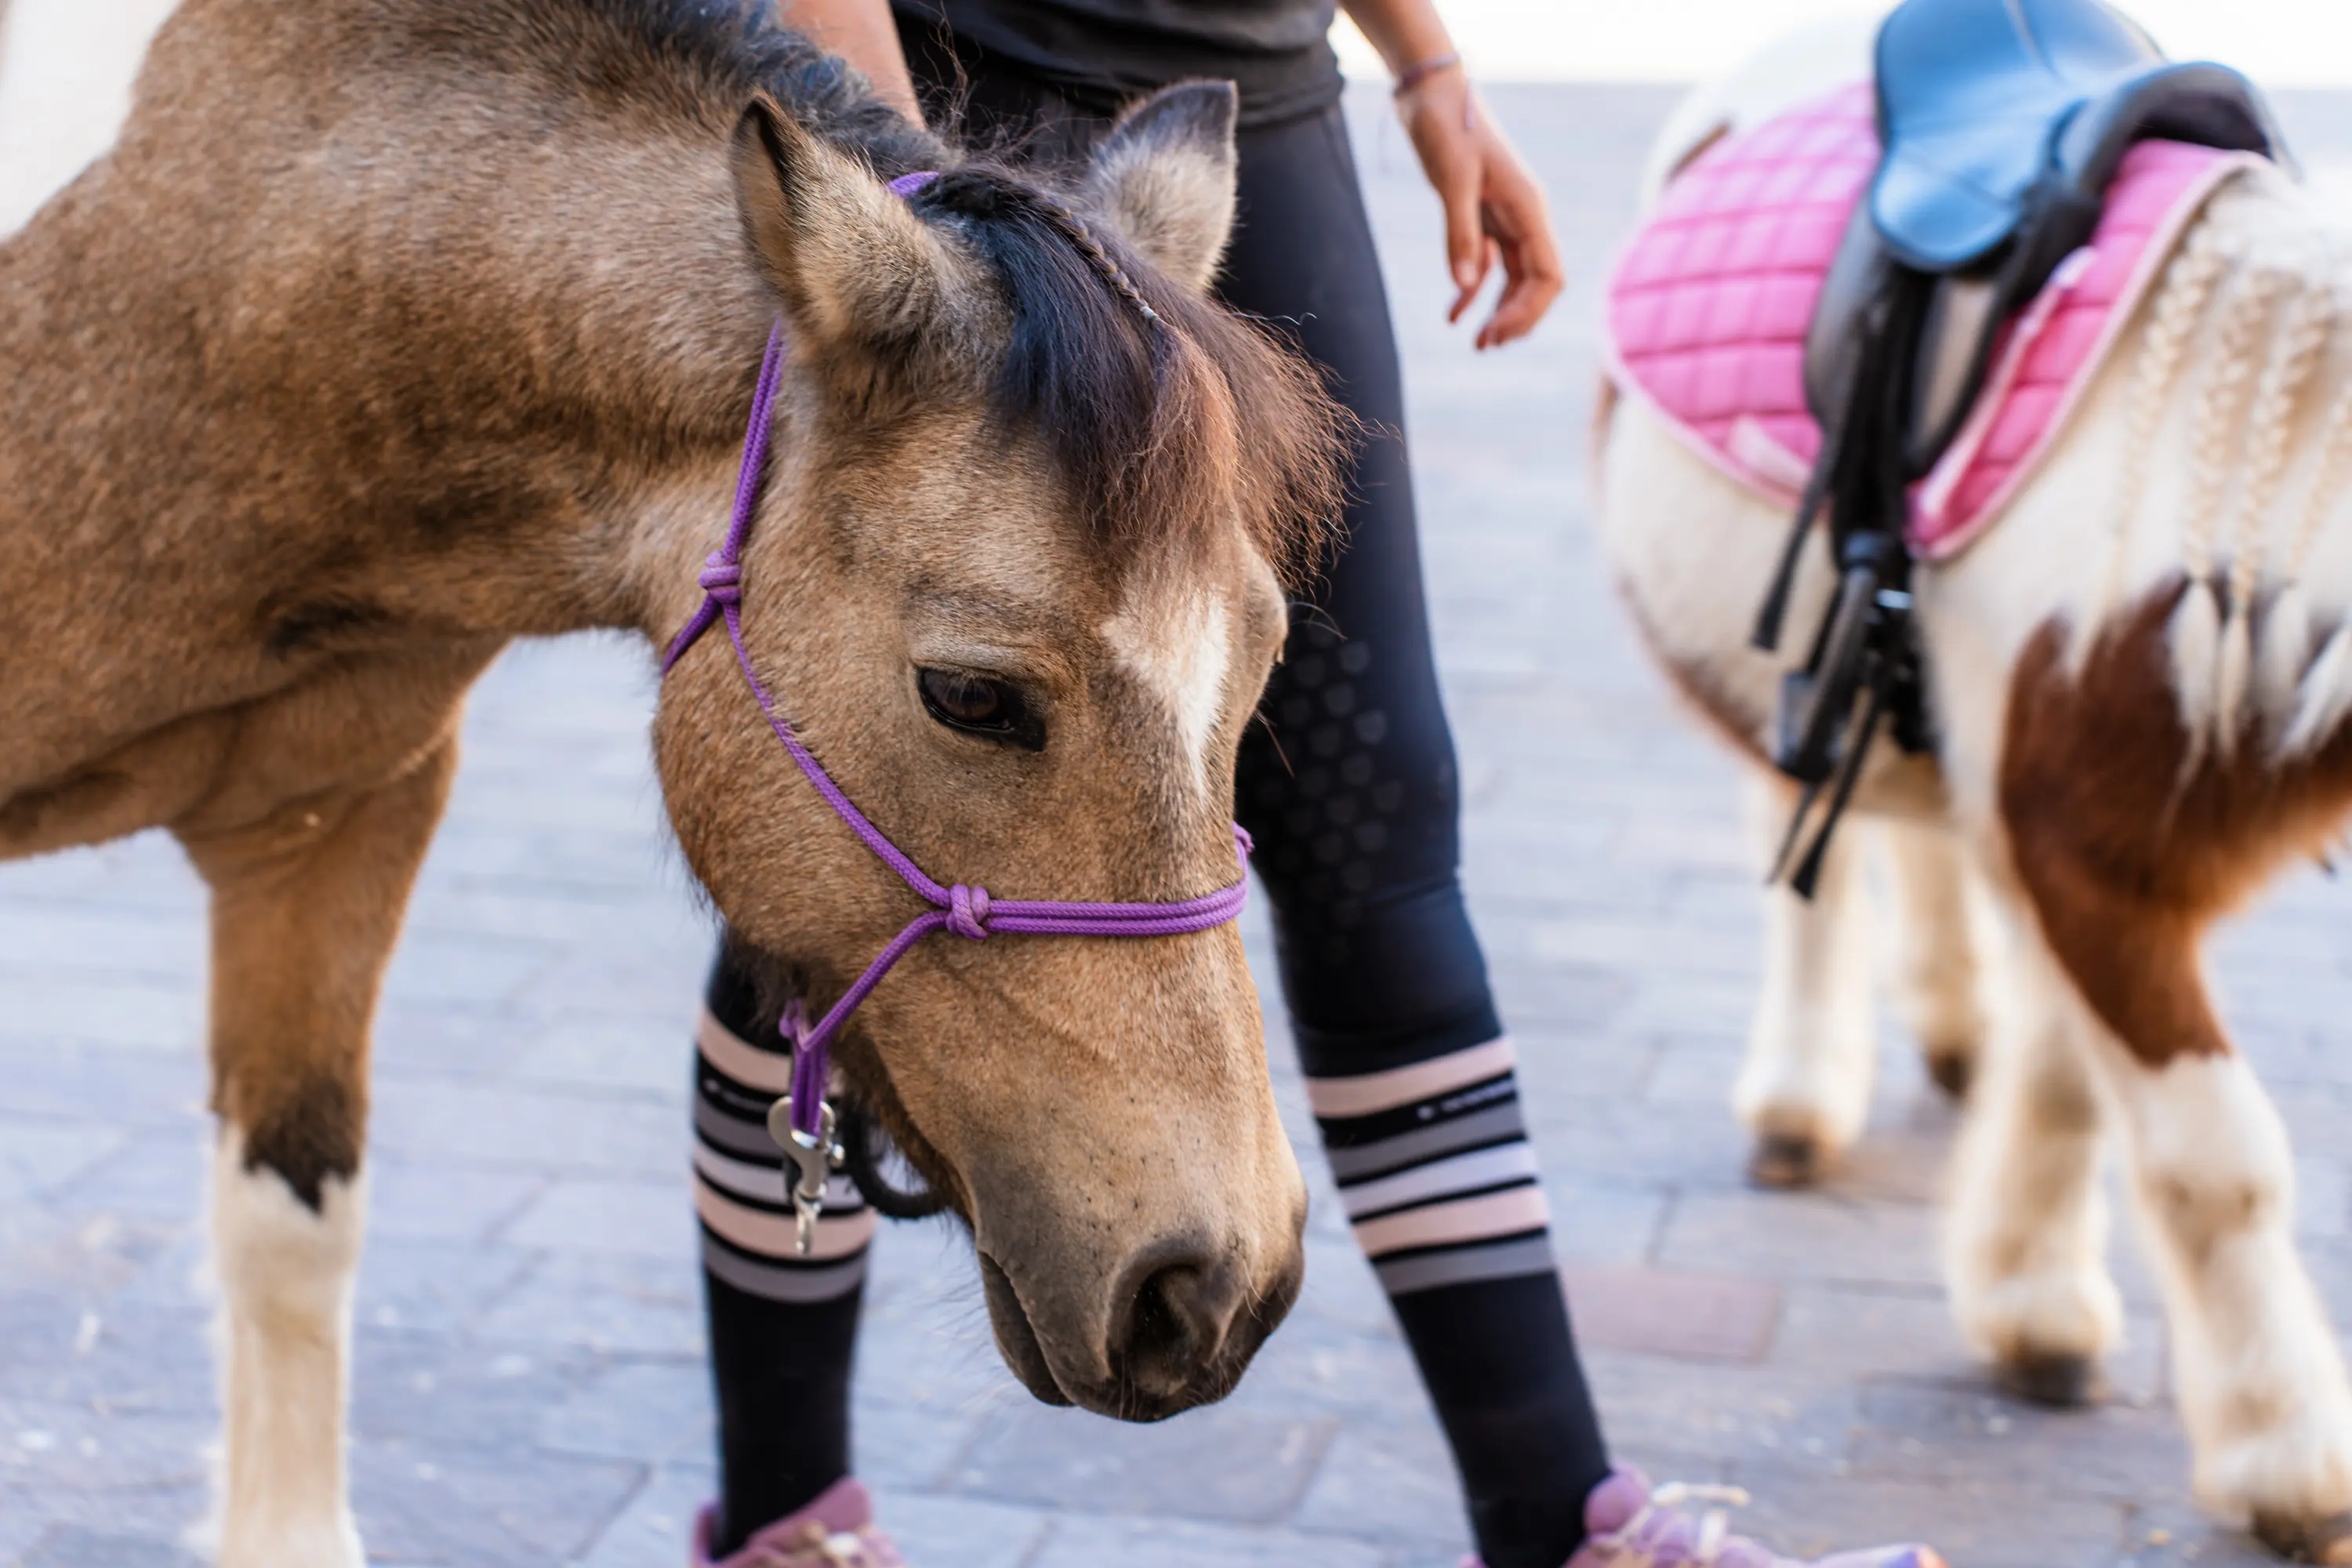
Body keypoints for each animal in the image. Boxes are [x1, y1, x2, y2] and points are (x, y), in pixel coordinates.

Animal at [1593, 18, 2352, 1563]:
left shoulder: (2070, 850)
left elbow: (2066, 1077)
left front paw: (2031, 1301)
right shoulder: (2087, 862)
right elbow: (2217, 1156)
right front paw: (2288, 1459)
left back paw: (1950, 1027)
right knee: (1812, 865)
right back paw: (1799, 1101)